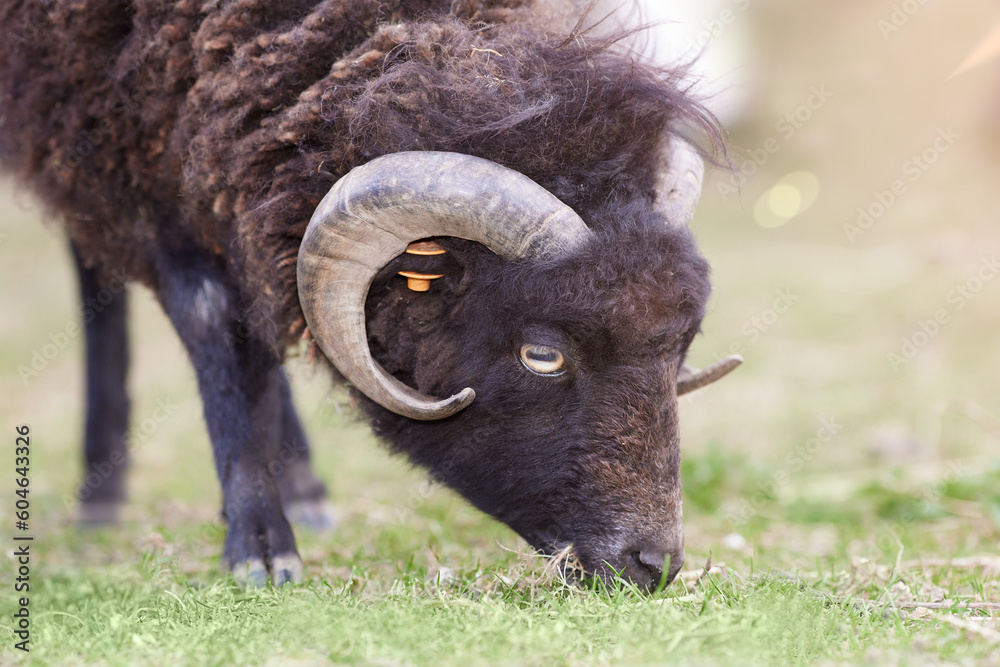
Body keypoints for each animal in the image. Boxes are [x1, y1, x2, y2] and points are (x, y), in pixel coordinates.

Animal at [0, 0, 739, 590]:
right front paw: (259, 547)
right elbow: (212, 318)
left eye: (679, 350)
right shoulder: (112, 133)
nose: (654, 565)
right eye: (542, 355)